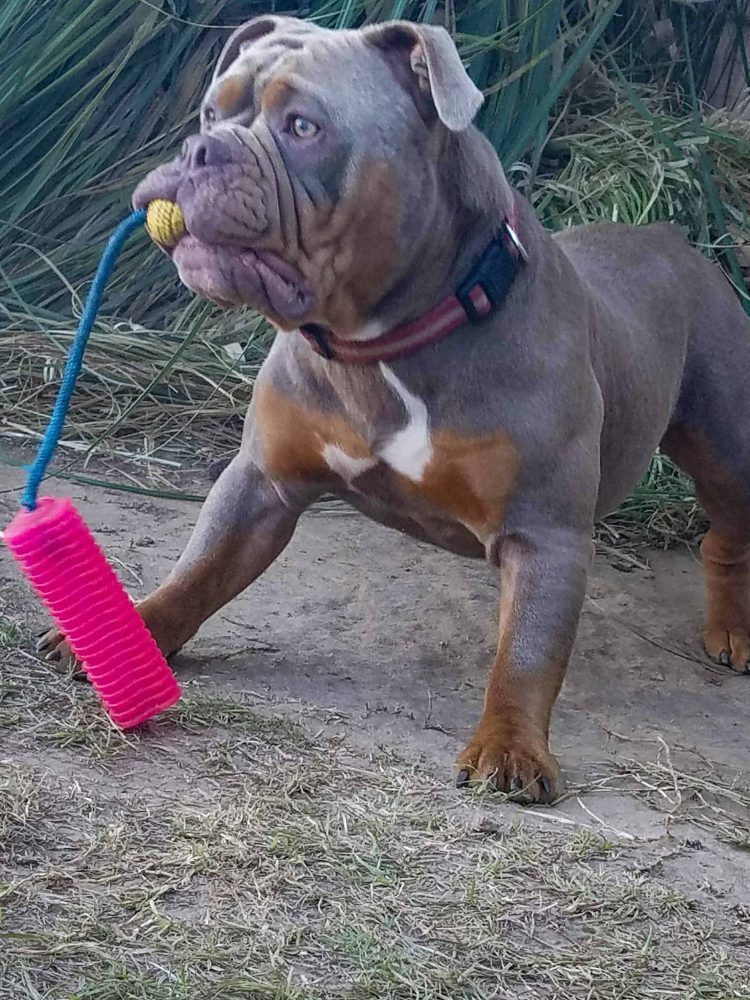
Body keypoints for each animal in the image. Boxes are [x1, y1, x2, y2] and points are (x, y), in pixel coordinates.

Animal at [38, 17, 750, 804]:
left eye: (303, 126)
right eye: (209, 114)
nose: (200, 150)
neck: (381, 344)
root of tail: (672, 238)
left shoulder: (545, 534)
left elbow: (529, 654)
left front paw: (510, 746)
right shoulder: (260, 484)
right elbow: (199, 570)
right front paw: (130, 632)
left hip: (727, 447)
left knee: (728, 532)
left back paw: (734, 633)